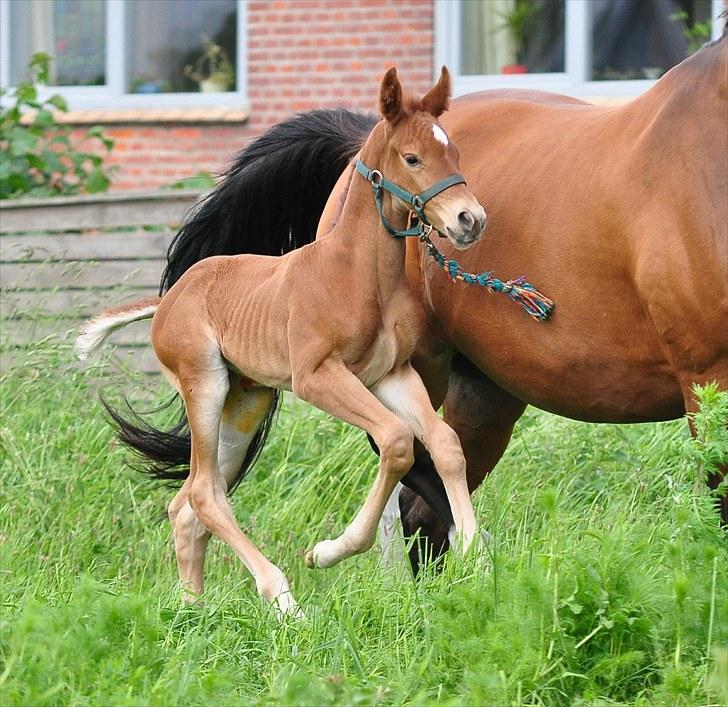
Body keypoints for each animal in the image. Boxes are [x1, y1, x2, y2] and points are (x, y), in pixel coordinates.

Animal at [77, 68, 486, 620]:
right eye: (412, 157)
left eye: (455, 151)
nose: (470, 219)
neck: (358, 274)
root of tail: (170, 296)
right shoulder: (317, 377)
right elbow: (398, 441)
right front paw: (326, 552)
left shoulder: (391, 375)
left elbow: (444, 444)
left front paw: (474, 553)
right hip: (205, 385)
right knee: (204, 494)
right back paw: (282, 597)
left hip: (245, 401)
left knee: (187, 503)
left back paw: (192, 609)